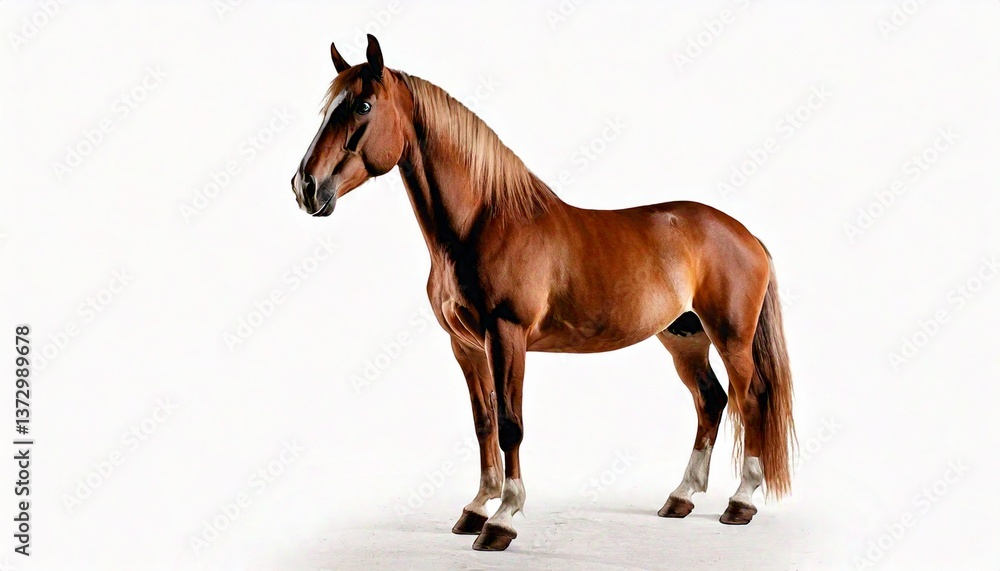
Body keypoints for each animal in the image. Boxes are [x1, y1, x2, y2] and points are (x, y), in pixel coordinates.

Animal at [291, 34, 796, 552]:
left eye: (362, 106)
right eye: (328, 108)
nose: (306, 186)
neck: (484, 221)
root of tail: (746, 235)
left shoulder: (506, 336)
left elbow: (510, 426)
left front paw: (503, 520)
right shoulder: (465, 346)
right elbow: (484, 424)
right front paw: (476, 508)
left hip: (730, 337)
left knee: (751, 398)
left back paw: (741, 502)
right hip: (684, 336)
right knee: (711, 400)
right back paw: (681, 497)